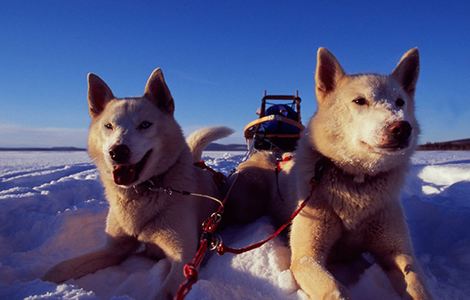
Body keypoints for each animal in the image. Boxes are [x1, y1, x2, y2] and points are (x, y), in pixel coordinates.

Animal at [43, 68, 233, 300]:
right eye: (108, 126)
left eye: (145, 125)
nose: (117, 152)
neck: (145, 190)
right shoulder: (114, 249)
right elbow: (61, 267)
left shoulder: (183, 258)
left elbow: (166, 292)